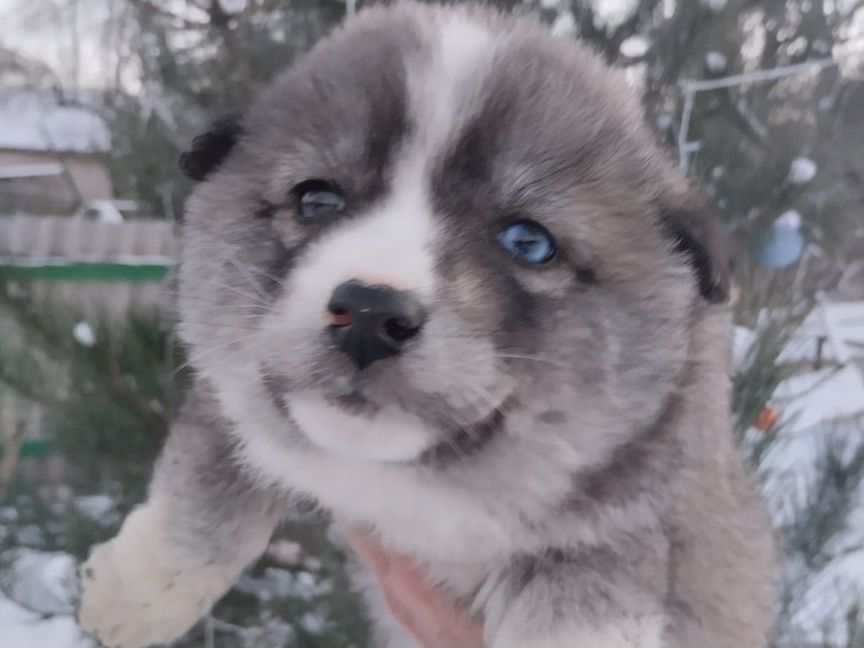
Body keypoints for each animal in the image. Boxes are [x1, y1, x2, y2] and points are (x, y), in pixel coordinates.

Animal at [79, 2, 776, 644]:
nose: (368, 312)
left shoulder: (631, 518)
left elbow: (589, 590)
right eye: (316, 198)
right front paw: (136, 594)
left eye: (529, 242)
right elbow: (207, 499)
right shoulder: (234, 395)